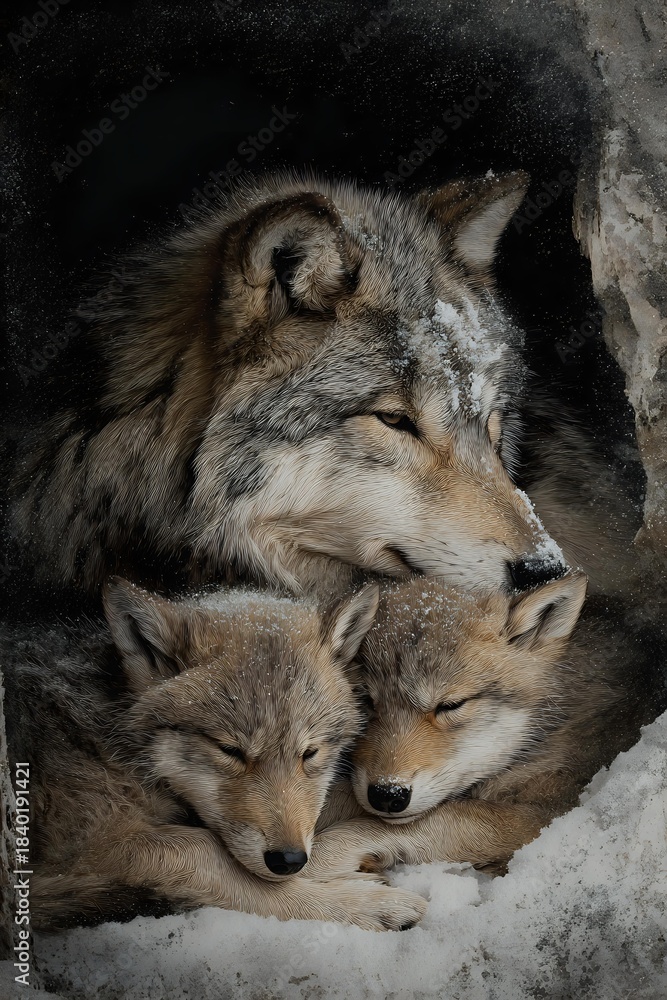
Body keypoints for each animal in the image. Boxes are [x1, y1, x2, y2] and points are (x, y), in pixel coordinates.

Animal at [3, 578, 427, 931]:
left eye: (309, 753)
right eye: (230, 751)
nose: (289, 860)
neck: (105, 737)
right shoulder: (104, 844)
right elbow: (220, 861)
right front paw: (366, 903)